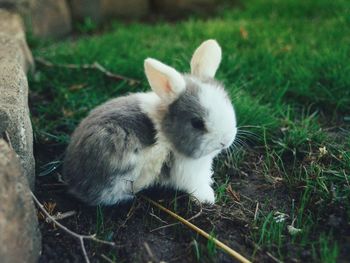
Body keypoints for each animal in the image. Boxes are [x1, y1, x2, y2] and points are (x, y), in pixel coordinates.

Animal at [63, 40, 238, 207]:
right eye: (197, 123)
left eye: (228, 103)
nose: (225, 141)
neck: (167, 131)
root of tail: (73, 180)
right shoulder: (188, 172)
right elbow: (196, 186)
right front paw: (208, 198)